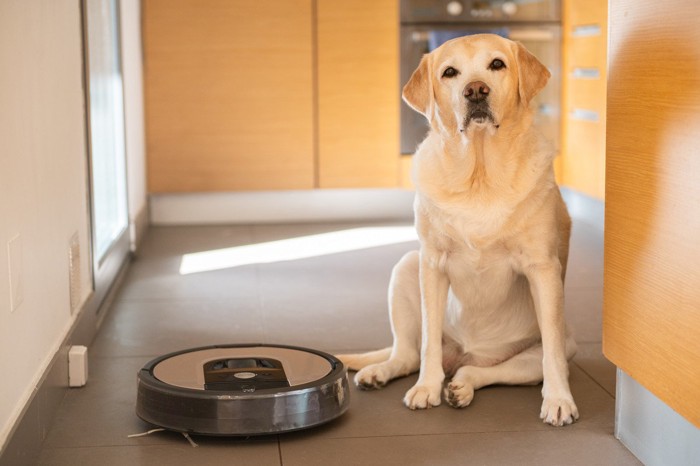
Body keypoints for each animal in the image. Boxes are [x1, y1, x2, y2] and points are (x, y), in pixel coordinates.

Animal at [336, 33, 576, 426]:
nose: (476, 90)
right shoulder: (432, 264)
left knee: (485, 371)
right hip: (407, 266)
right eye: (450, 72)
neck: (479, 176)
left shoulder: (543, 269)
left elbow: (552, 355)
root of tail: (465, 353)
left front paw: (559, 400)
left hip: (544, 350)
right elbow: (428, 343)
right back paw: (382, 373)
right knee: (408, 353)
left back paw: (460, 387)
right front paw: (425, 389)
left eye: (497, 64)